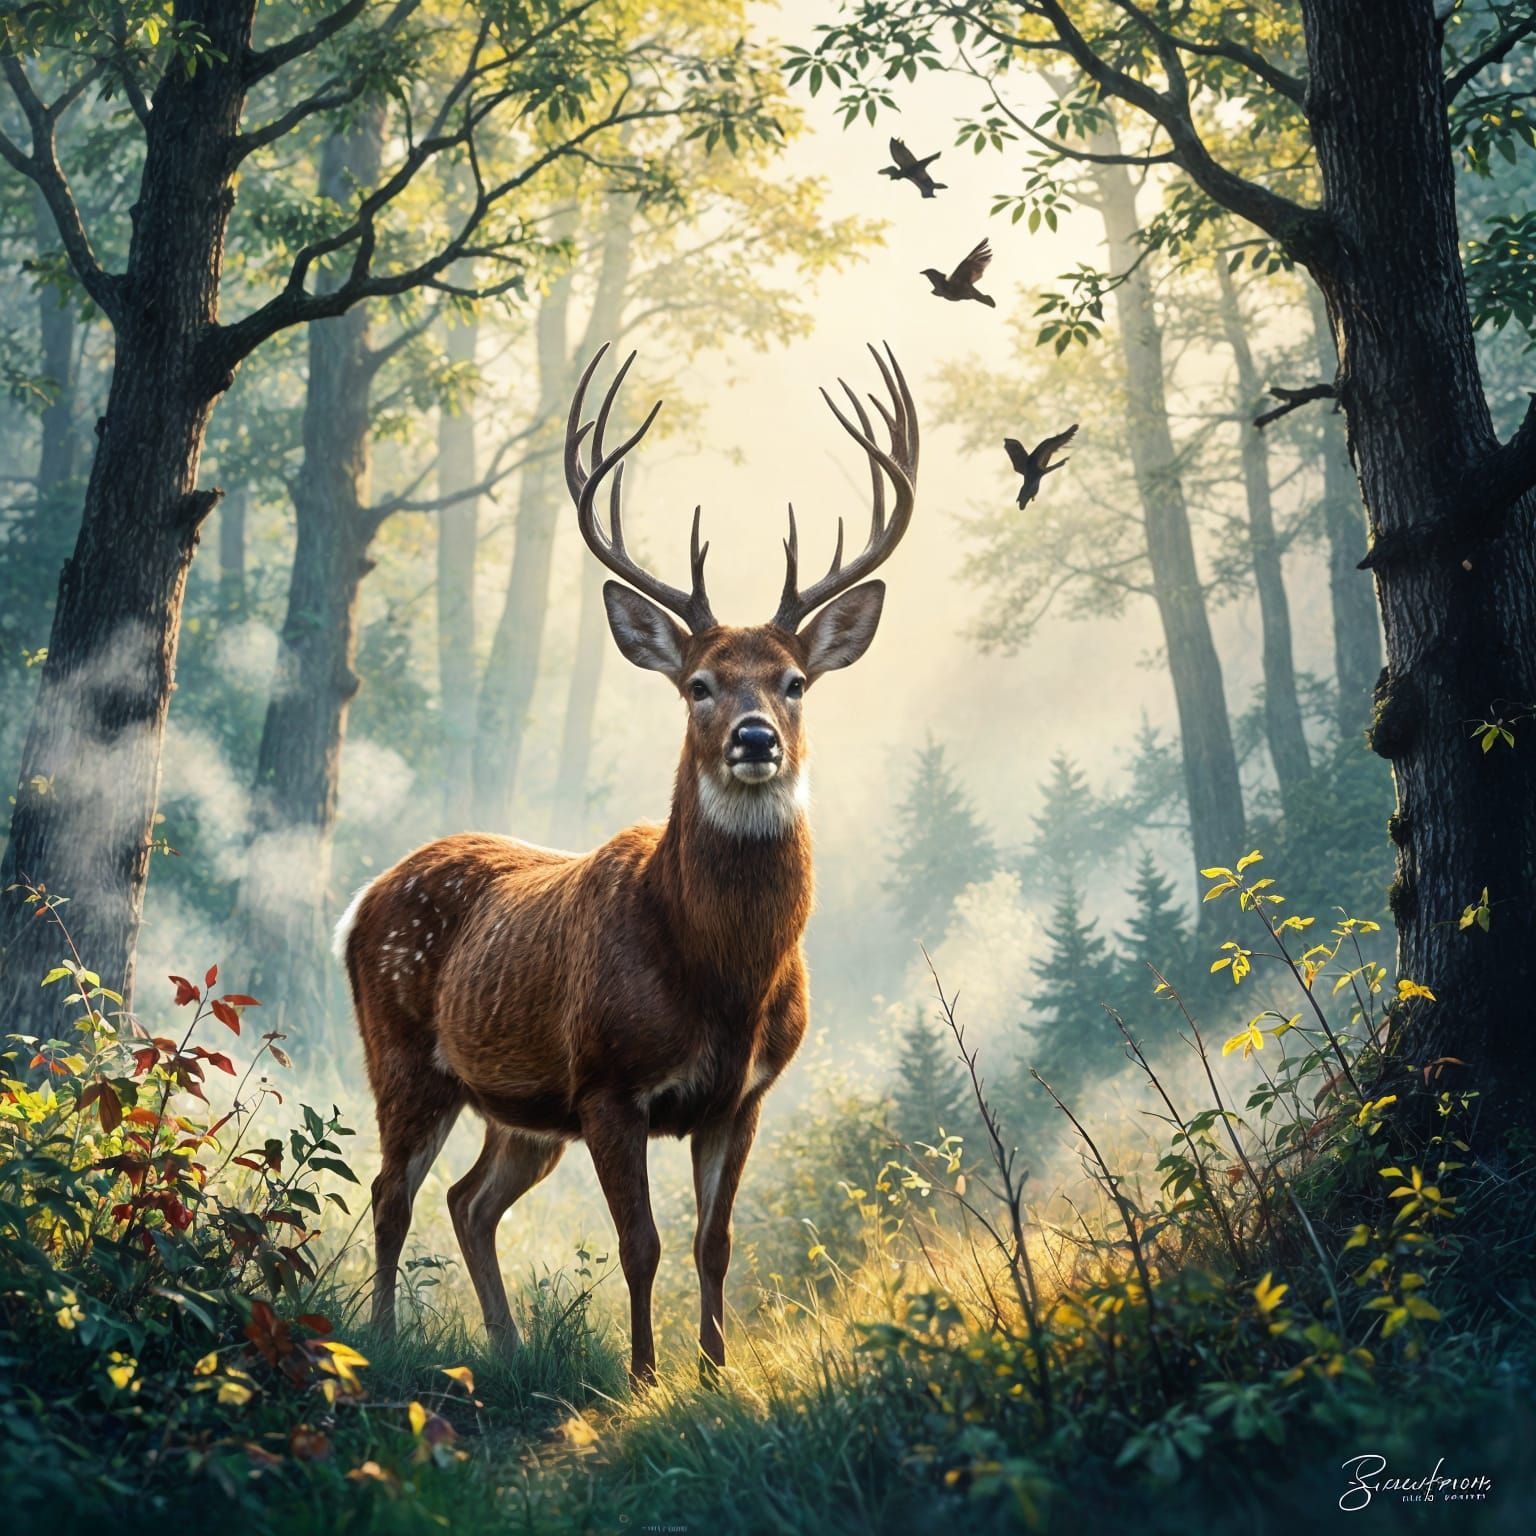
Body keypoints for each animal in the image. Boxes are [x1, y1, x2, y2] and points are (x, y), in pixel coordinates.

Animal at [335, 341, 918, 1384]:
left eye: (796, 681)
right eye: (698, 684)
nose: (757, 739)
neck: (720, 976)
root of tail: (360, 900)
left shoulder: (743, 1093)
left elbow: (713, 1242)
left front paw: (716, 1372)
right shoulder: (608, 1081)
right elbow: (638, 1243)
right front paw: (644, 1378)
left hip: (521, 1108)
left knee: (469, 1200)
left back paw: (508, 1345)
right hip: (402, 1053)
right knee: (392, 1193)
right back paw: (386, 1337)